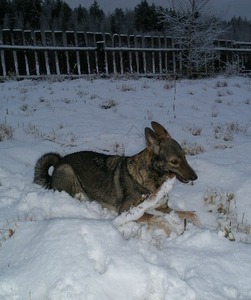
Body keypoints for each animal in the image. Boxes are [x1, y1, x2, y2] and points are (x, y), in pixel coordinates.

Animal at [33, 122, 198, 234]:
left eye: (184, 156)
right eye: (174, 161)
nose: (195, 177)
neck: (153, 178)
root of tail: (59, 161)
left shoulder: (163, 208)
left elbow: (189, 213)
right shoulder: (127, 211)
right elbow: (157, 219)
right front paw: (170, 230)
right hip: (67, 170)